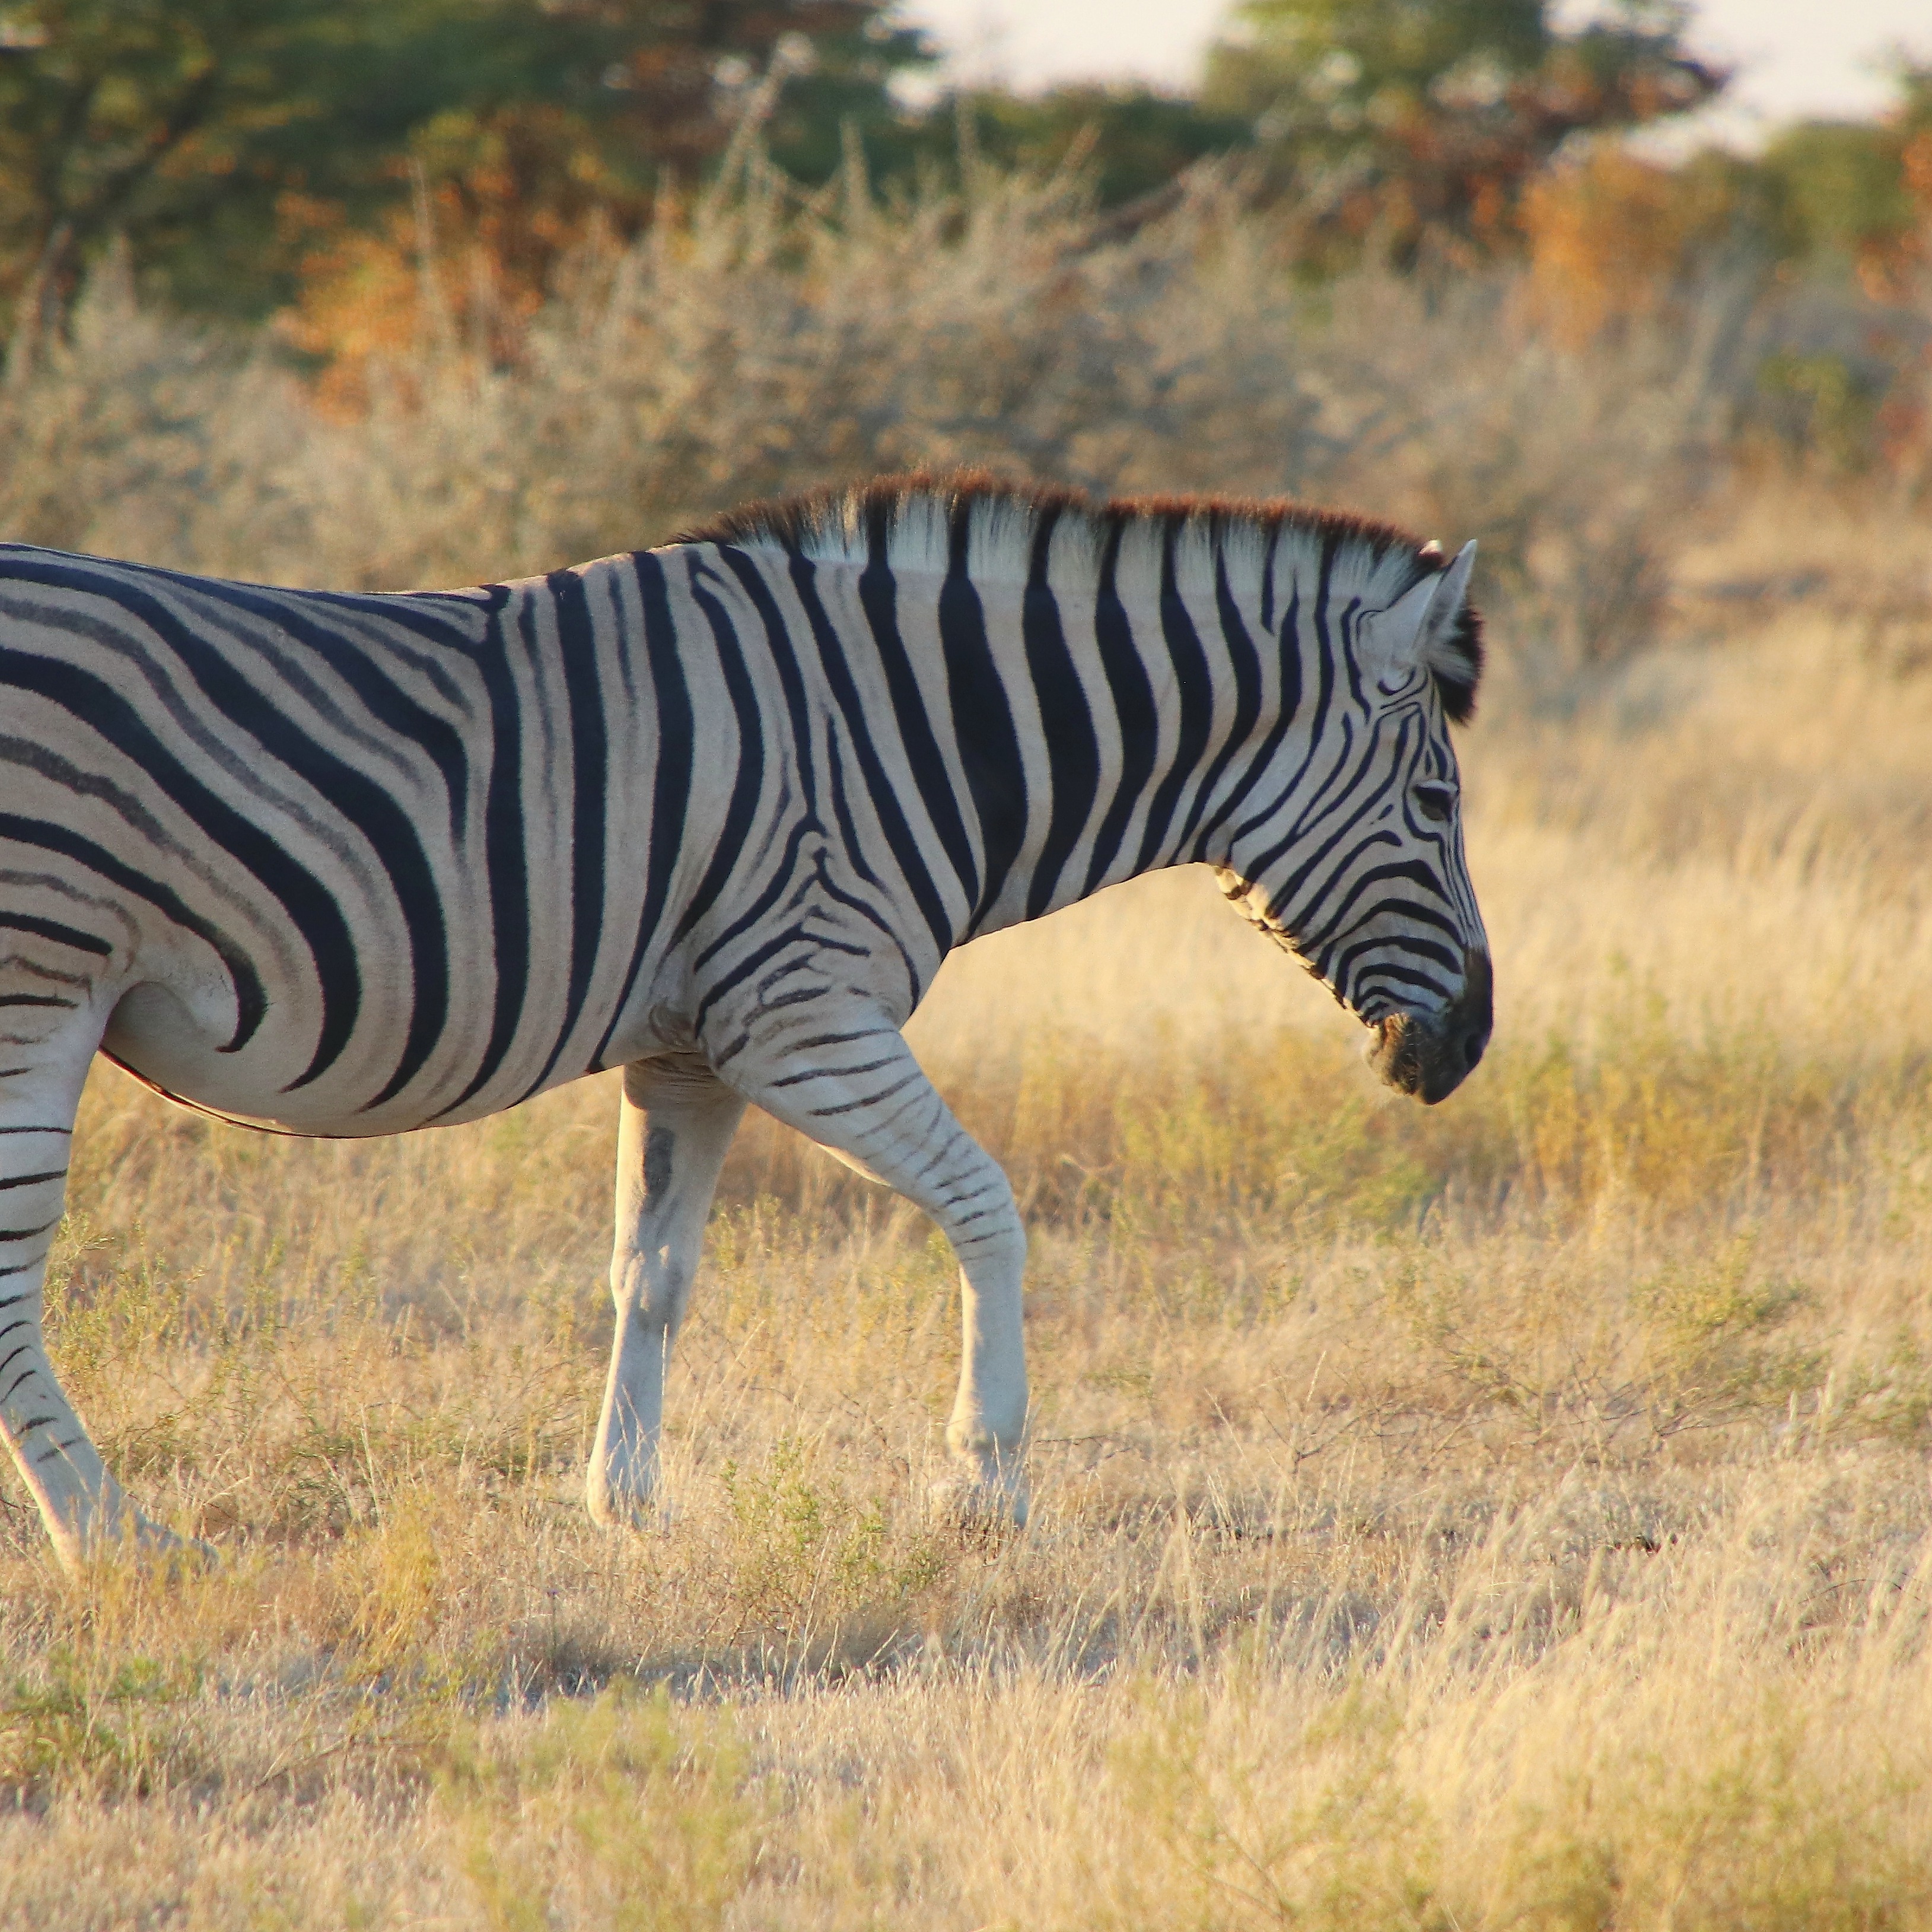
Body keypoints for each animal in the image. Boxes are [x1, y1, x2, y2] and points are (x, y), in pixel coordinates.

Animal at [0, 473, 1488, 1569]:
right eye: (1436, 804)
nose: (1465, 1047)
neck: (922, 728)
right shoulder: (802, 1014)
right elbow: (989, 1206)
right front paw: (983, 1484)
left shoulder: (689, 1047)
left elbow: (651, 1272)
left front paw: (621, 1501)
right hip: (41, 982)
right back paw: (115, 1540)